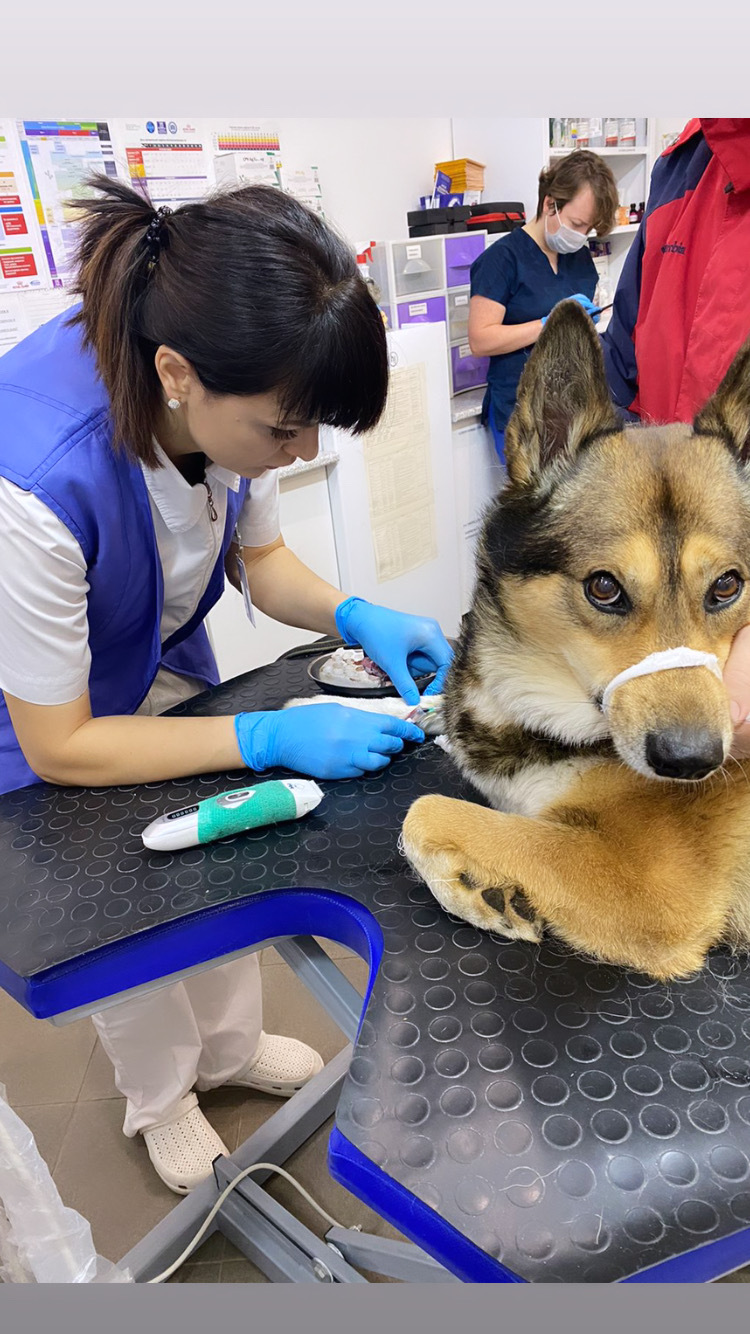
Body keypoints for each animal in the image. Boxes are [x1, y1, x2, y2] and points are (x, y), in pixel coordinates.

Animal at [397, 305, 750, 992]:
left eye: (727, 585)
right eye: (604, 587)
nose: (694, 764)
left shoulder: (651, 890)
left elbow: (425, 812)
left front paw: (480, 893)